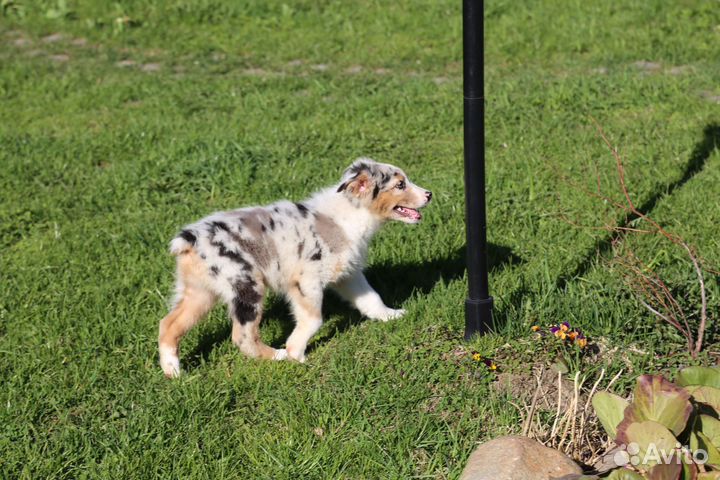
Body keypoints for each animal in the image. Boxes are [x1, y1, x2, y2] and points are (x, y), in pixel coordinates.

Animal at [159, 159, 434, 376]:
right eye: (400, 185)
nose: (430, 194)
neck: (350, 215)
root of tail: (190, 239)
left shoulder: (348, 274)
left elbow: (371, 299)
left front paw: (390, 315)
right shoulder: (305, 281)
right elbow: (313, 320)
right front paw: (296, 354)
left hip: (199, 292)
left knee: (168, 325)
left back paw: (173, 372)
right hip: (246, 285)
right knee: (242, 335)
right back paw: (276, 355)